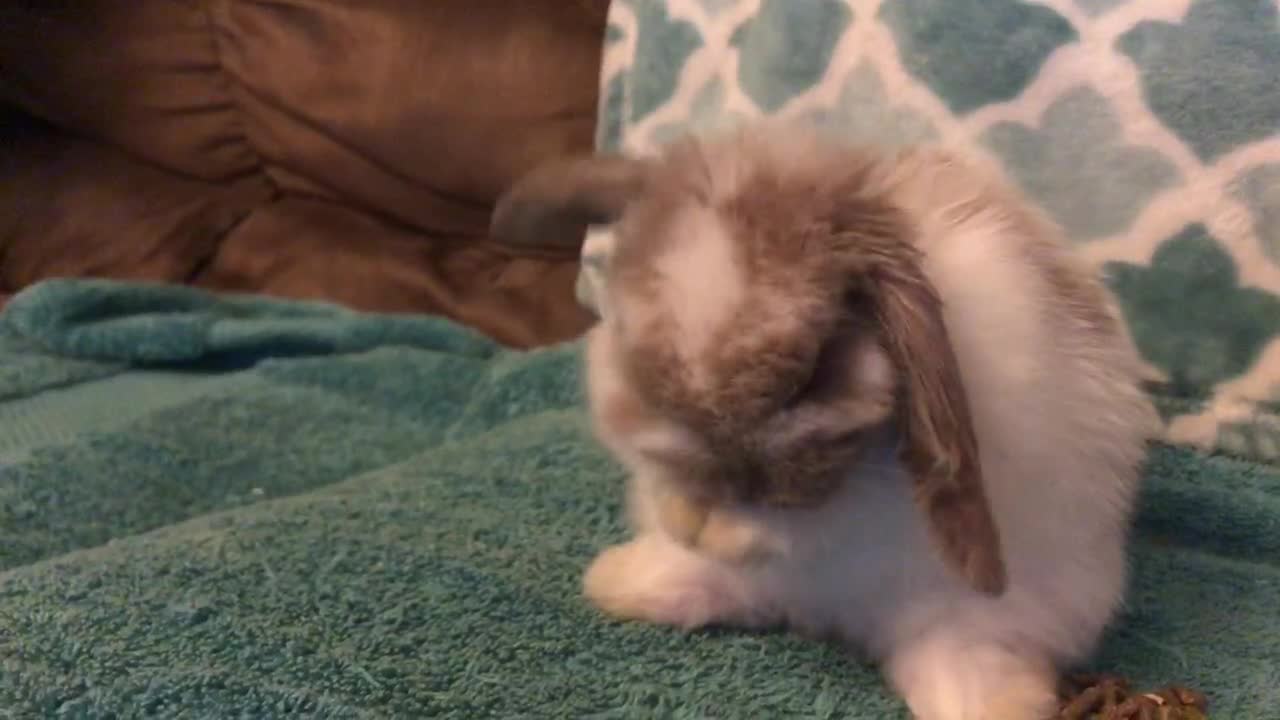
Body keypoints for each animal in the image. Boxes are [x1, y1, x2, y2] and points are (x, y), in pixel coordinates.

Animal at [488, 122, 1162, 717]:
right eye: (630, 339)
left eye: (811, 375)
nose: (705, 503)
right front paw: (683, 521)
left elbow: (795, 525)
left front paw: (724, 527)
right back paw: (621, 581)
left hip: (988, 610)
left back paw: (986, 705)